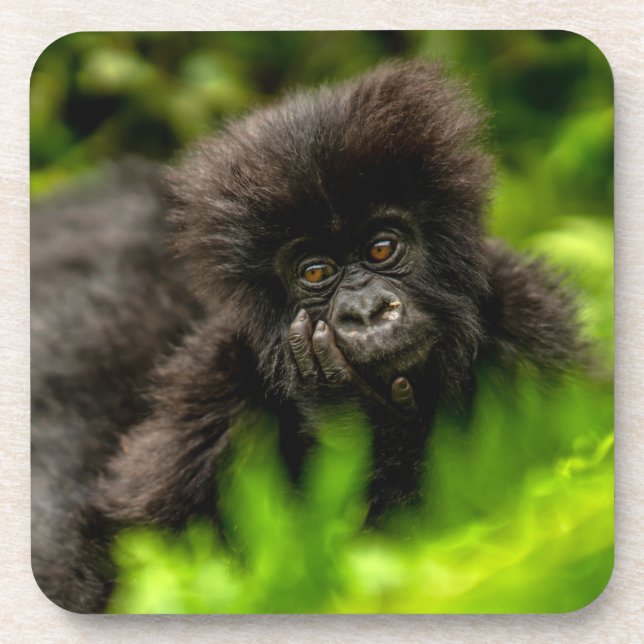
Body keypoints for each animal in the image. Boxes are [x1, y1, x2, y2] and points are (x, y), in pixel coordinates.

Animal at [31, 60, 581, 612]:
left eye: (381, 248)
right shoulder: (214, 385)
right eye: (316, 272)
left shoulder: (532, 325)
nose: (367, 312)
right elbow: (122, 551)